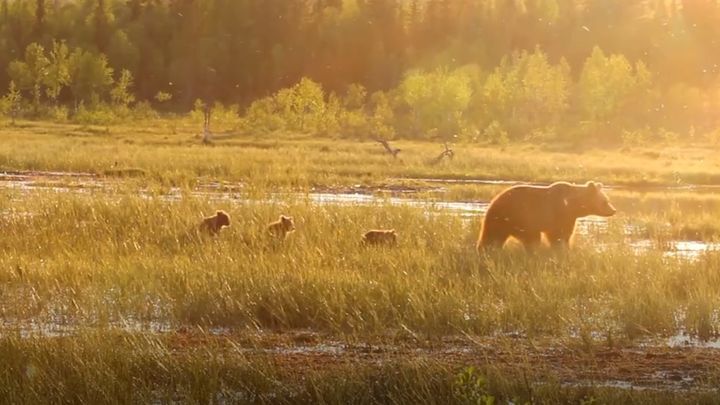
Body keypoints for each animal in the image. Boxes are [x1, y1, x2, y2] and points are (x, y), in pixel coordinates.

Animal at [476, 181, 616, 251]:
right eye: (605, 201)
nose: (613, 210)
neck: (573, 206)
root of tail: (494, 201)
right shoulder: (560, 213)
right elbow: (558, 234)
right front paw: (562, 248)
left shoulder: (569, 217)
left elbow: (565, 234)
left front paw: (566, 247)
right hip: (521, 217)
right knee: (530, 238)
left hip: (505, 220)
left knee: (494, 236)